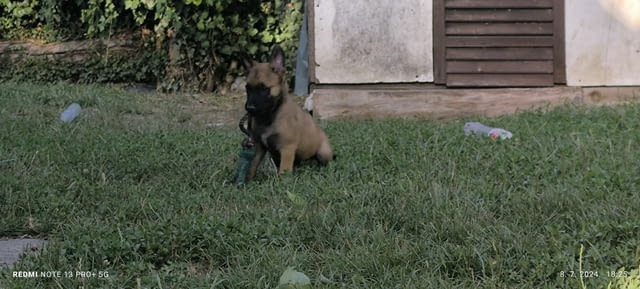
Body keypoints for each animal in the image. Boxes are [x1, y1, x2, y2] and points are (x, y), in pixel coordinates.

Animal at [241, 44, 336, 180]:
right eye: (247, 88)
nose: (249, 108)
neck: (269, 116)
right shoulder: (259, 148)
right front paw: (247, 181)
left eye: (264, 88)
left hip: (323, 153)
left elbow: (283, 173)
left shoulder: (287, 149)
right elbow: (252, 166)